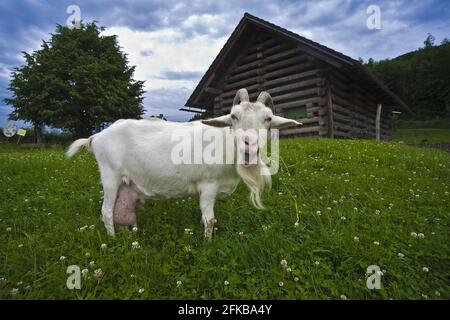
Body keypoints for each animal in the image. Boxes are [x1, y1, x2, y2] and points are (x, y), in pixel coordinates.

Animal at [67, 89, 300, 236]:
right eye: (233, 116)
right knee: (106, 212)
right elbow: (210, 221)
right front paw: (208, 245)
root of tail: (96, 137)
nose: (249, 144)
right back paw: (112, 240)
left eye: (268, 118)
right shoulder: (208, 184)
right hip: (110, 176)